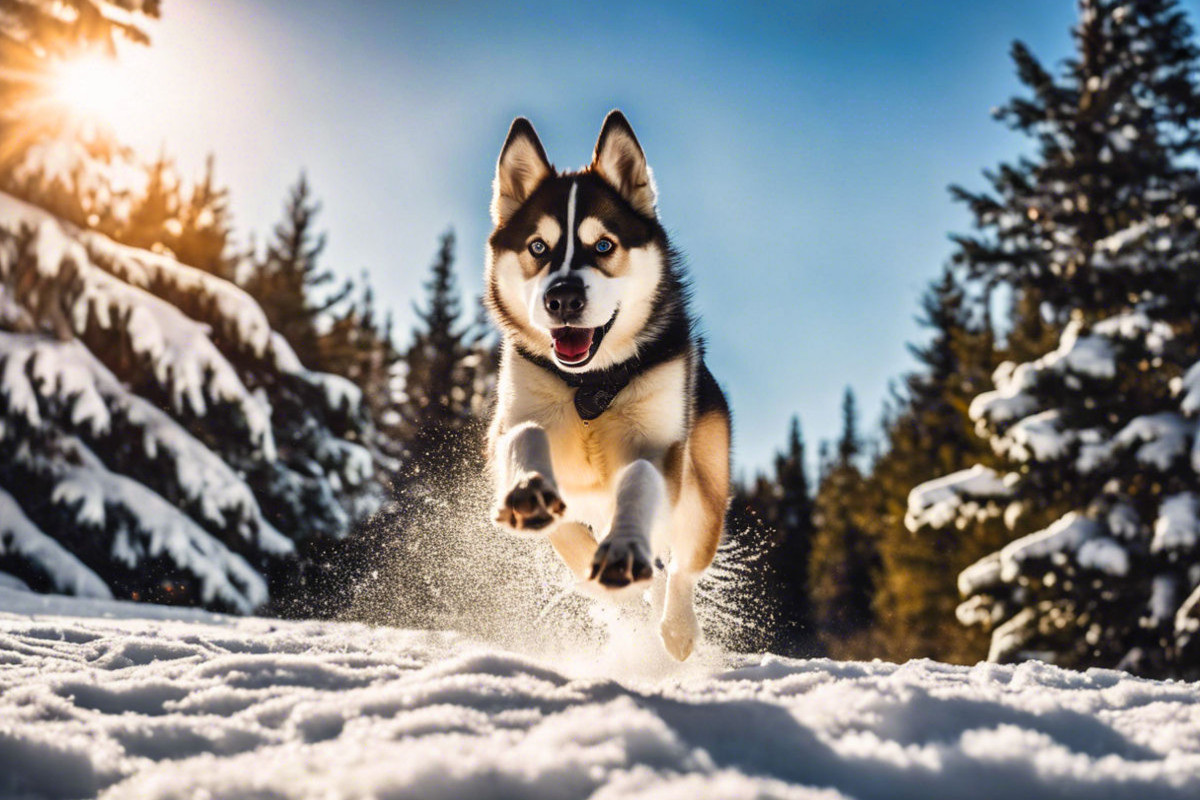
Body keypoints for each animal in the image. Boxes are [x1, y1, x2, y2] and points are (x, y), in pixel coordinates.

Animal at [482, 112, 724, 662]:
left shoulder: (661, 449)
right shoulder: (511, 426)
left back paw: (677, 628)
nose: (563, 298)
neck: (590, 384)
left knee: (681, 569)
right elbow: (527, 441)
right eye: (538, 248)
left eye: (603, 246)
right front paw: (530, 493)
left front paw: (623, 552)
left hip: (703, 498)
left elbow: (638, 480)